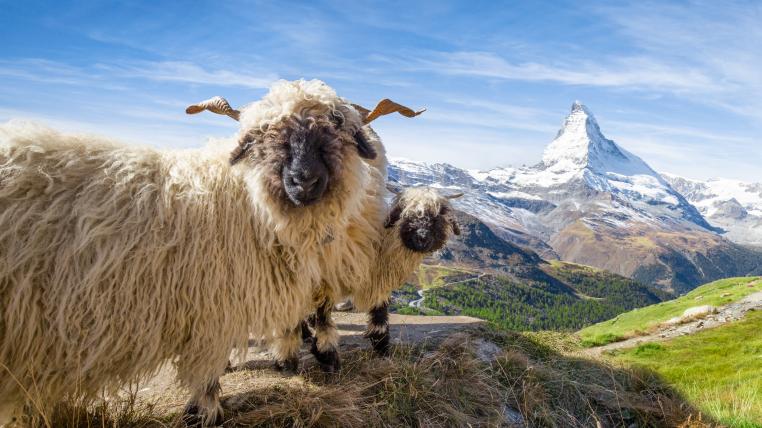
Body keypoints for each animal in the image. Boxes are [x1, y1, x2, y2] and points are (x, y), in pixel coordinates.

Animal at [0, 79, 423, 426]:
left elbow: (319, 306)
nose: (304, 181)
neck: (246, 202)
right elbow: (211, 369)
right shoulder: (214, 306)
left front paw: (319, 355)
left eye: (336, 127)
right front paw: (207, 409)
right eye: (263, 136)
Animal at [275, 186, 463, 371]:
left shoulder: (377, 282)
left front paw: (381, 346)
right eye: (405, 215)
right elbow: (322, 314)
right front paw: (325, 353)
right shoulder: (326, 277)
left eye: (437, 217)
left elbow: (379, 315)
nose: (421, 238)